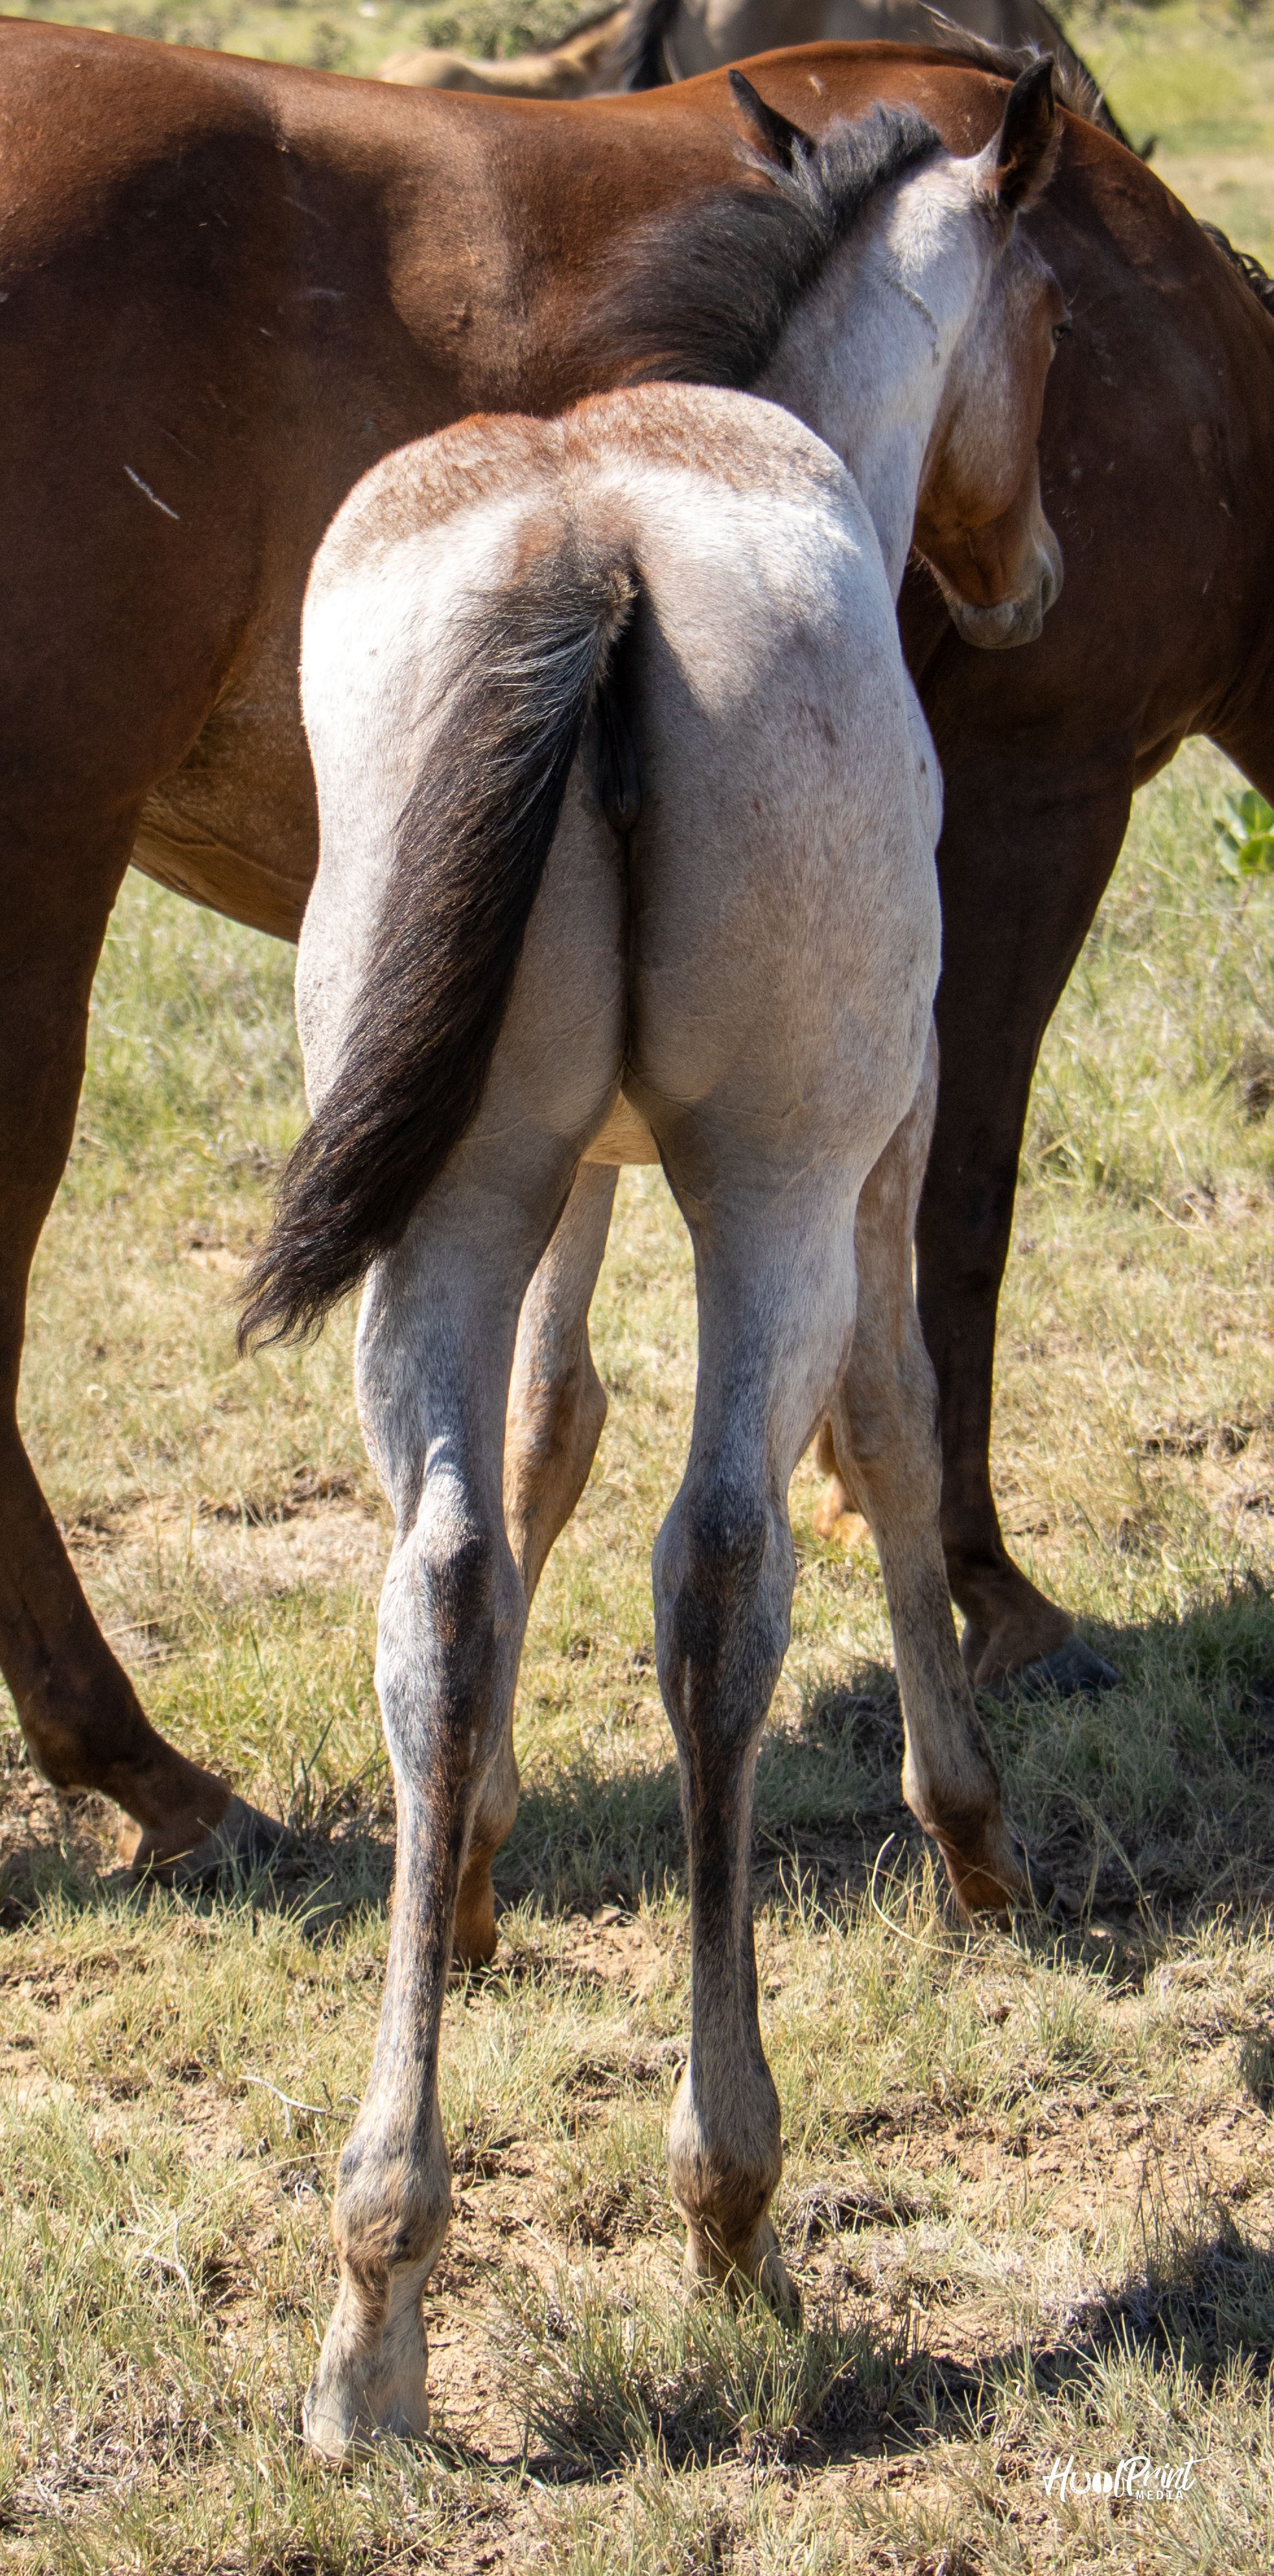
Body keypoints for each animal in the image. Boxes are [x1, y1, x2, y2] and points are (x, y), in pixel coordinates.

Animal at [236, 69, 1064, 2451]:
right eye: (1053, 321)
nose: (1029, 575)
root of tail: (586, 541)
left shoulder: (568, 1183)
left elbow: (535, 1442)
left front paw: (478, 1872)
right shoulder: (875, 1150)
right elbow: (893, 1436)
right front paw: (969, 1830)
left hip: (451, 1201)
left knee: (430, 1587)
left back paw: (378, 2295)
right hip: (772, 1182)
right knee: (721, 1575)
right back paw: (734, 2203)